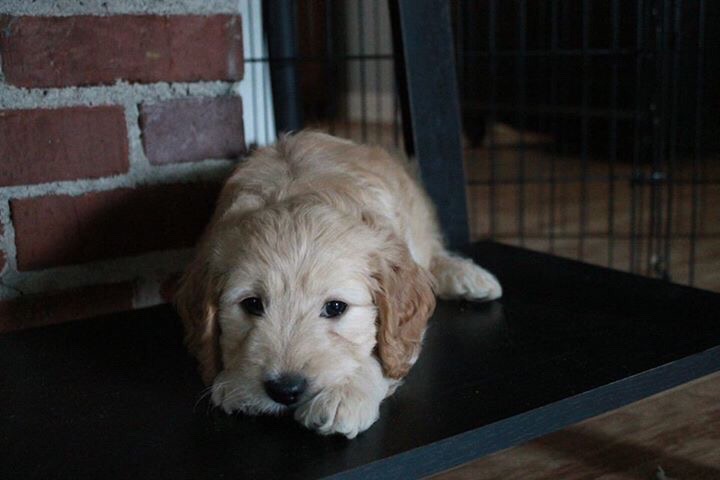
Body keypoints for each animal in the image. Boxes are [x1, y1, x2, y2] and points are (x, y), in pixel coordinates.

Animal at [174, 131, 500, 438]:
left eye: (335, 308)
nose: (285, 390)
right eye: (252, 304)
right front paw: (234, 384)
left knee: (433, 254)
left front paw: (346, 396)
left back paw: (469, 277)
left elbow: (381, 353)